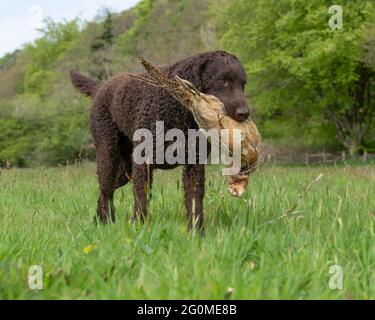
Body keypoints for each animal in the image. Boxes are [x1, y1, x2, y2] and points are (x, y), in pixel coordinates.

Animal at [70, 50, 250, 231]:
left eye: (243, 84)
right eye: (223, 81)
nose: (245, 113)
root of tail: (101, 85)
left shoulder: (194, 164)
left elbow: (195, 202)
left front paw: (196, 233)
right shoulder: (143, 165)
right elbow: (141, 200)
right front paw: (139, 229)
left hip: (125, 169)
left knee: (104, 192)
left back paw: (99, 223)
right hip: (108, 155)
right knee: (106, 190)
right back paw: (106, 223)